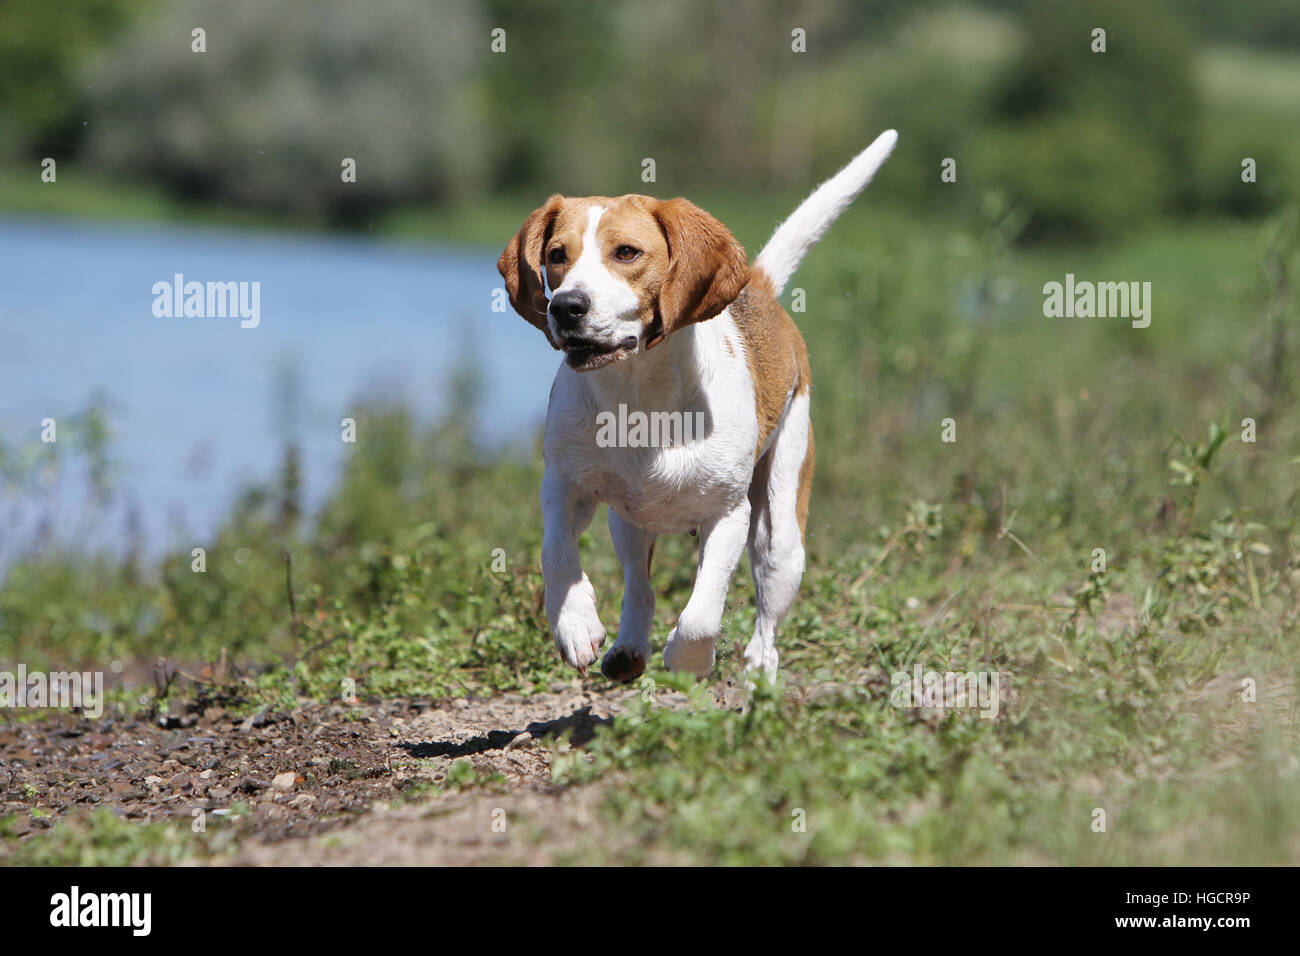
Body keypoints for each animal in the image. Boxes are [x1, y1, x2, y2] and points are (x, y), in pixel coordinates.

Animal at [496, 130, 894, 686]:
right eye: (556, 254)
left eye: (626, 252)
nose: (566, 306)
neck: (638, 398)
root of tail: (757, 287)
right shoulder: (563, 486)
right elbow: (555, 553)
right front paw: (574, 624)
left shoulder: (727, 515)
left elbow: (702, 616)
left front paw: (689, 661)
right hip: (628, 523)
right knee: (639, 586)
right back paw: (628, 648)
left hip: (780, 533)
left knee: (766, 617)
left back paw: (758, 671)